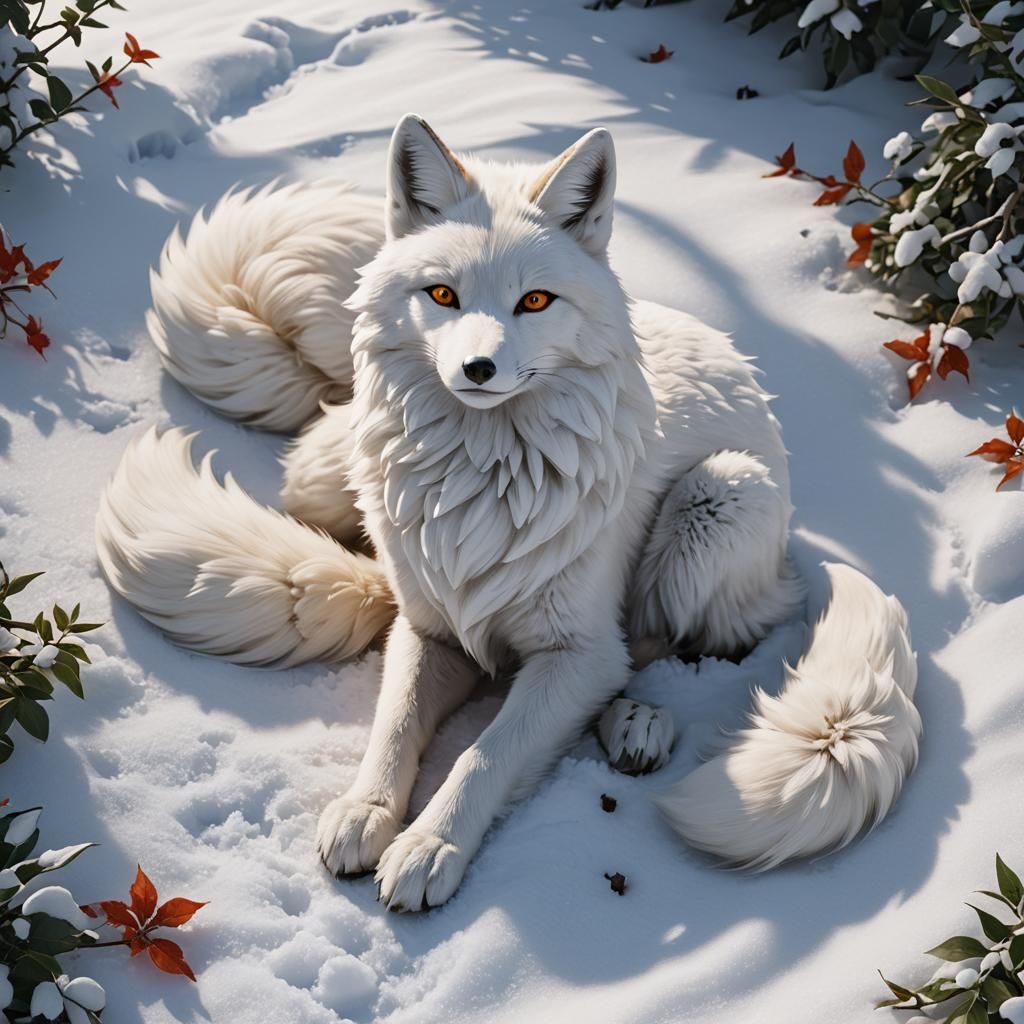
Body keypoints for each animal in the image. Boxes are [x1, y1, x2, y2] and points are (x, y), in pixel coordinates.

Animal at [96, 115, 922, 911]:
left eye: (534, 301)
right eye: (442, 296)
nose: (478, 368)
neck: (484, 476)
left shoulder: (575, 649)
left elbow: (484, 752)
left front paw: (429, 848)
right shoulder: (430, 629)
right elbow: (395, 727)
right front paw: (367, 811)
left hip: (720, 494)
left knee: (661, 643)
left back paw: (636, 719)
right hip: (330, 475)